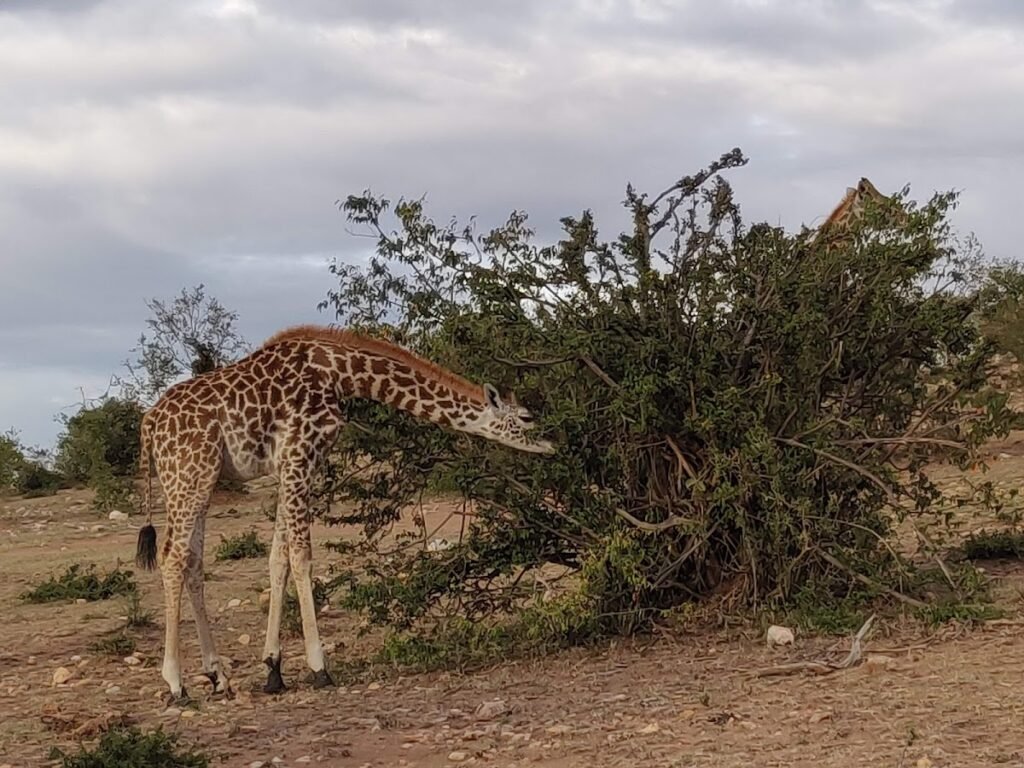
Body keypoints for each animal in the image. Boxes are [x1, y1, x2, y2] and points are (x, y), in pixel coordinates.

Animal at [134, 324, 555, 703]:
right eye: (527, 417)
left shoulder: (290, 466)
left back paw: (218, 677)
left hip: (196, 481)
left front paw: (273, 669)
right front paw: (319, 668)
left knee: (193, 562)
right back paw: (176, 685)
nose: (552, 444)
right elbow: (301, 557)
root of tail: (149, 423)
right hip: (191, 475)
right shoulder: (299, 456)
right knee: (173, 558)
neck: (341, 374)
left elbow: (277, 560)